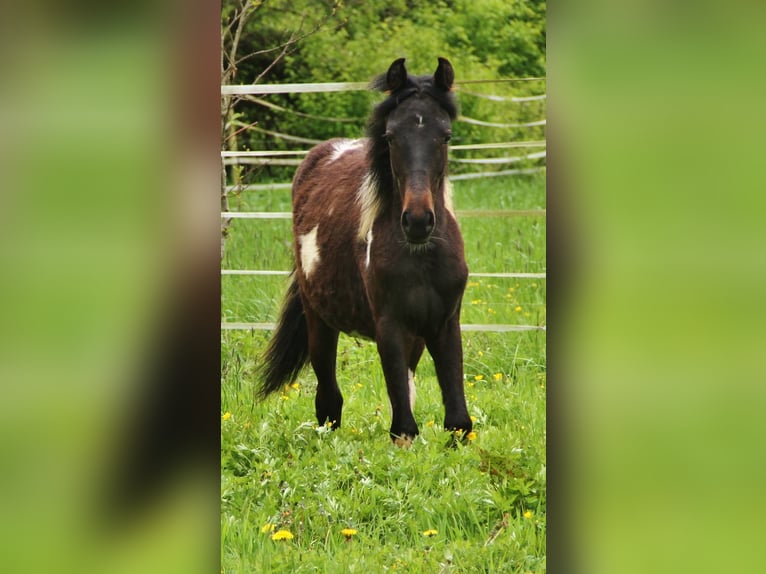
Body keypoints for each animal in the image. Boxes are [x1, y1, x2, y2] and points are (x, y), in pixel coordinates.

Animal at [260, 58, 474, 448]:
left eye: (446, 135)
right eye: (390, 136)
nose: (417, 221)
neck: (421, 258)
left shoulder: (445, 323)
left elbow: (457, 421)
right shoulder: (389, 325)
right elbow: (403, 428)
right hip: (320, 320)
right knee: (328, 400)